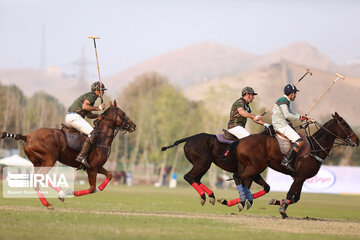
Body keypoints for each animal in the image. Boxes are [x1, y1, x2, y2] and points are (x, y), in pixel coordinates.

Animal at [0, 99, 136, 208]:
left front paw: (97, 188)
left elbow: (109, 176)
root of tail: (27, 136)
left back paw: (48, 202)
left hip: (37, 162)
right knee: (40, 177)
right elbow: (92, 189)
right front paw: (69, 192)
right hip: (50, 159)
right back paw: (58, 194)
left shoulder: (97, 167)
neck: (102, 138)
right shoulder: (92, 168)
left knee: (36, 180)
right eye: (123, 114)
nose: (133, 126)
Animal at [221, 111, 358, 218]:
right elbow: (290, 194)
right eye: (345, 125)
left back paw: (235, 202)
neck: (315, 148)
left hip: (251, 166)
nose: (357, 140)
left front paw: (277, 202)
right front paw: (282, 211)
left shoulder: (300, 178)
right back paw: (240, 201)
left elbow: (295, 198)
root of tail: (240, 141)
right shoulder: (300, 177)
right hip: (255, 166)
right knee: (238, 177)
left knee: (246, 181)